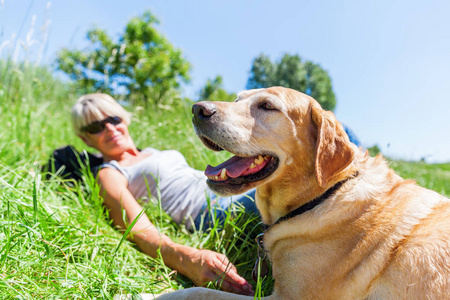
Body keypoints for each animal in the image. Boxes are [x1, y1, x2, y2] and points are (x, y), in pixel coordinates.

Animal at [156, 85, 450, 298]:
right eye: (237, 98)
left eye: (267, 106)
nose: (198, 109)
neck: (324, 194)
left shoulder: (288, 297)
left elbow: (199, 292)